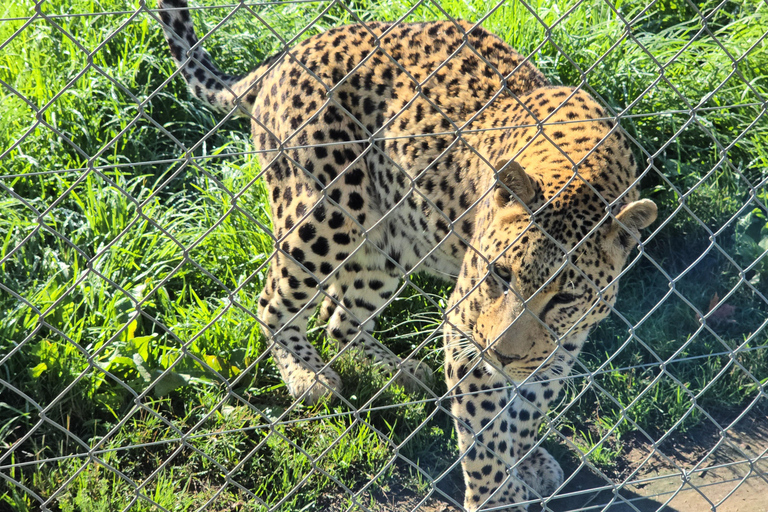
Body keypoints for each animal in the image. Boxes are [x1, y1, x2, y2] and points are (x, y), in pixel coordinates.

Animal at [157, 1, 657, 510]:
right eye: (499, 276)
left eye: (565, 298)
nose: (499, 353)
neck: (582, 170)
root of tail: (287, 56)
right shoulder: (464, 327)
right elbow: (485, 435)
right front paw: (497, 494)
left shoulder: (562, 345)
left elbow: (526, 410)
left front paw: (528, 458)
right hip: (324, 218)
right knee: (273, 302)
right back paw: (307, 376)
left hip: (387, 246)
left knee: (339, 319)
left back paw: (402, 373)